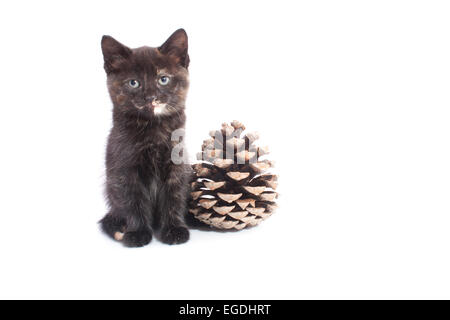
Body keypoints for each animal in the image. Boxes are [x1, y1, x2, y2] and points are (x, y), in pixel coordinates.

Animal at [100, 29, 192, 248]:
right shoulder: (125, 170)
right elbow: (133, 201)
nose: (151, 97)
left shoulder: (176, 166)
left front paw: (174, 230)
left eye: (163, 79)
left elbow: (174, 197)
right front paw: (138, 233)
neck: (154, 130)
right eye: (134, 83)